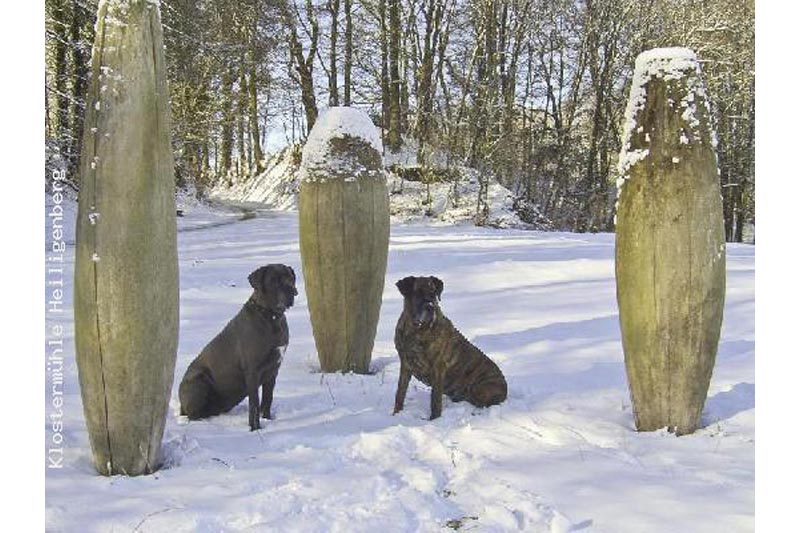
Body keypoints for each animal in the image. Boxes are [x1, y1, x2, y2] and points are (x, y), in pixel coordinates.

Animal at [179, 264, 297, 431]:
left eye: (290, 278)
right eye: (274, 280)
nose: (291, 289)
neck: (270, 316)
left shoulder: (273, 369)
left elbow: (268, 398)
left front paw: (267, 419)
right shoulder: (253, 370)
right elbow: (254, 404)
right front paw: (255, 428)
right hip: (199, 380)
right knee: (193, 414)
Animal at [393, 276, 507, 420]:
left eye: (434, 293)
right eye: (418, 293)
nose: (430, 307)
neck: (415, 329)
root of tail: (505, 388)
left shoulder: (438, 368)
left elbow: (435, 399)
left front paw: (434, 420)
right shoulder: (405, 365)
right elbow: (400, 393)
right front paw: (395, 414)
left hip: (480, 389)